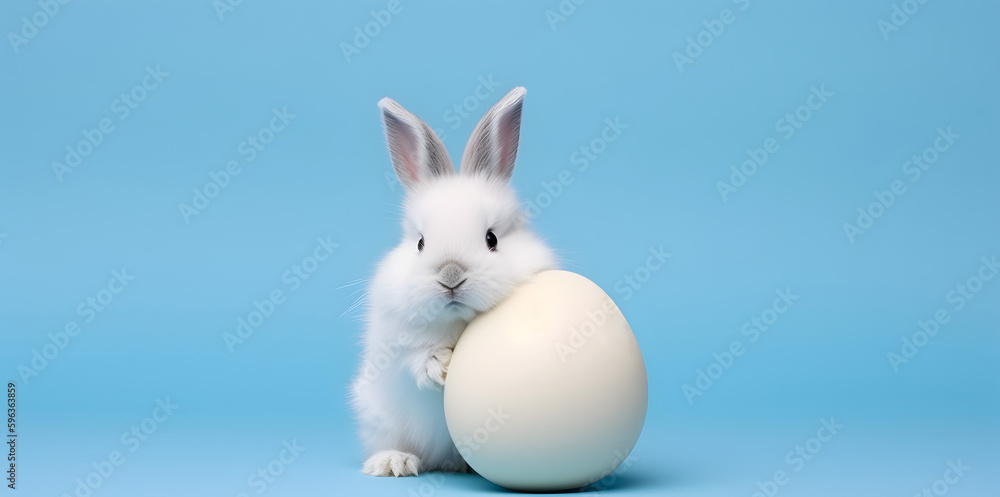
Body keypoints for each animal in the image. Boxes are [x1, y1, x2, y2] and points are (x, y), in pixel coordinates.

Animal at [350, 87, 556, 477]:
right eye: (420, 243)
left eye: (492, 239)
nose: (451, 277)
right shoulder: (394, 346)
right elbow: (414, 358)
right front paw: (443, 366)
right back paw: (393, 463)